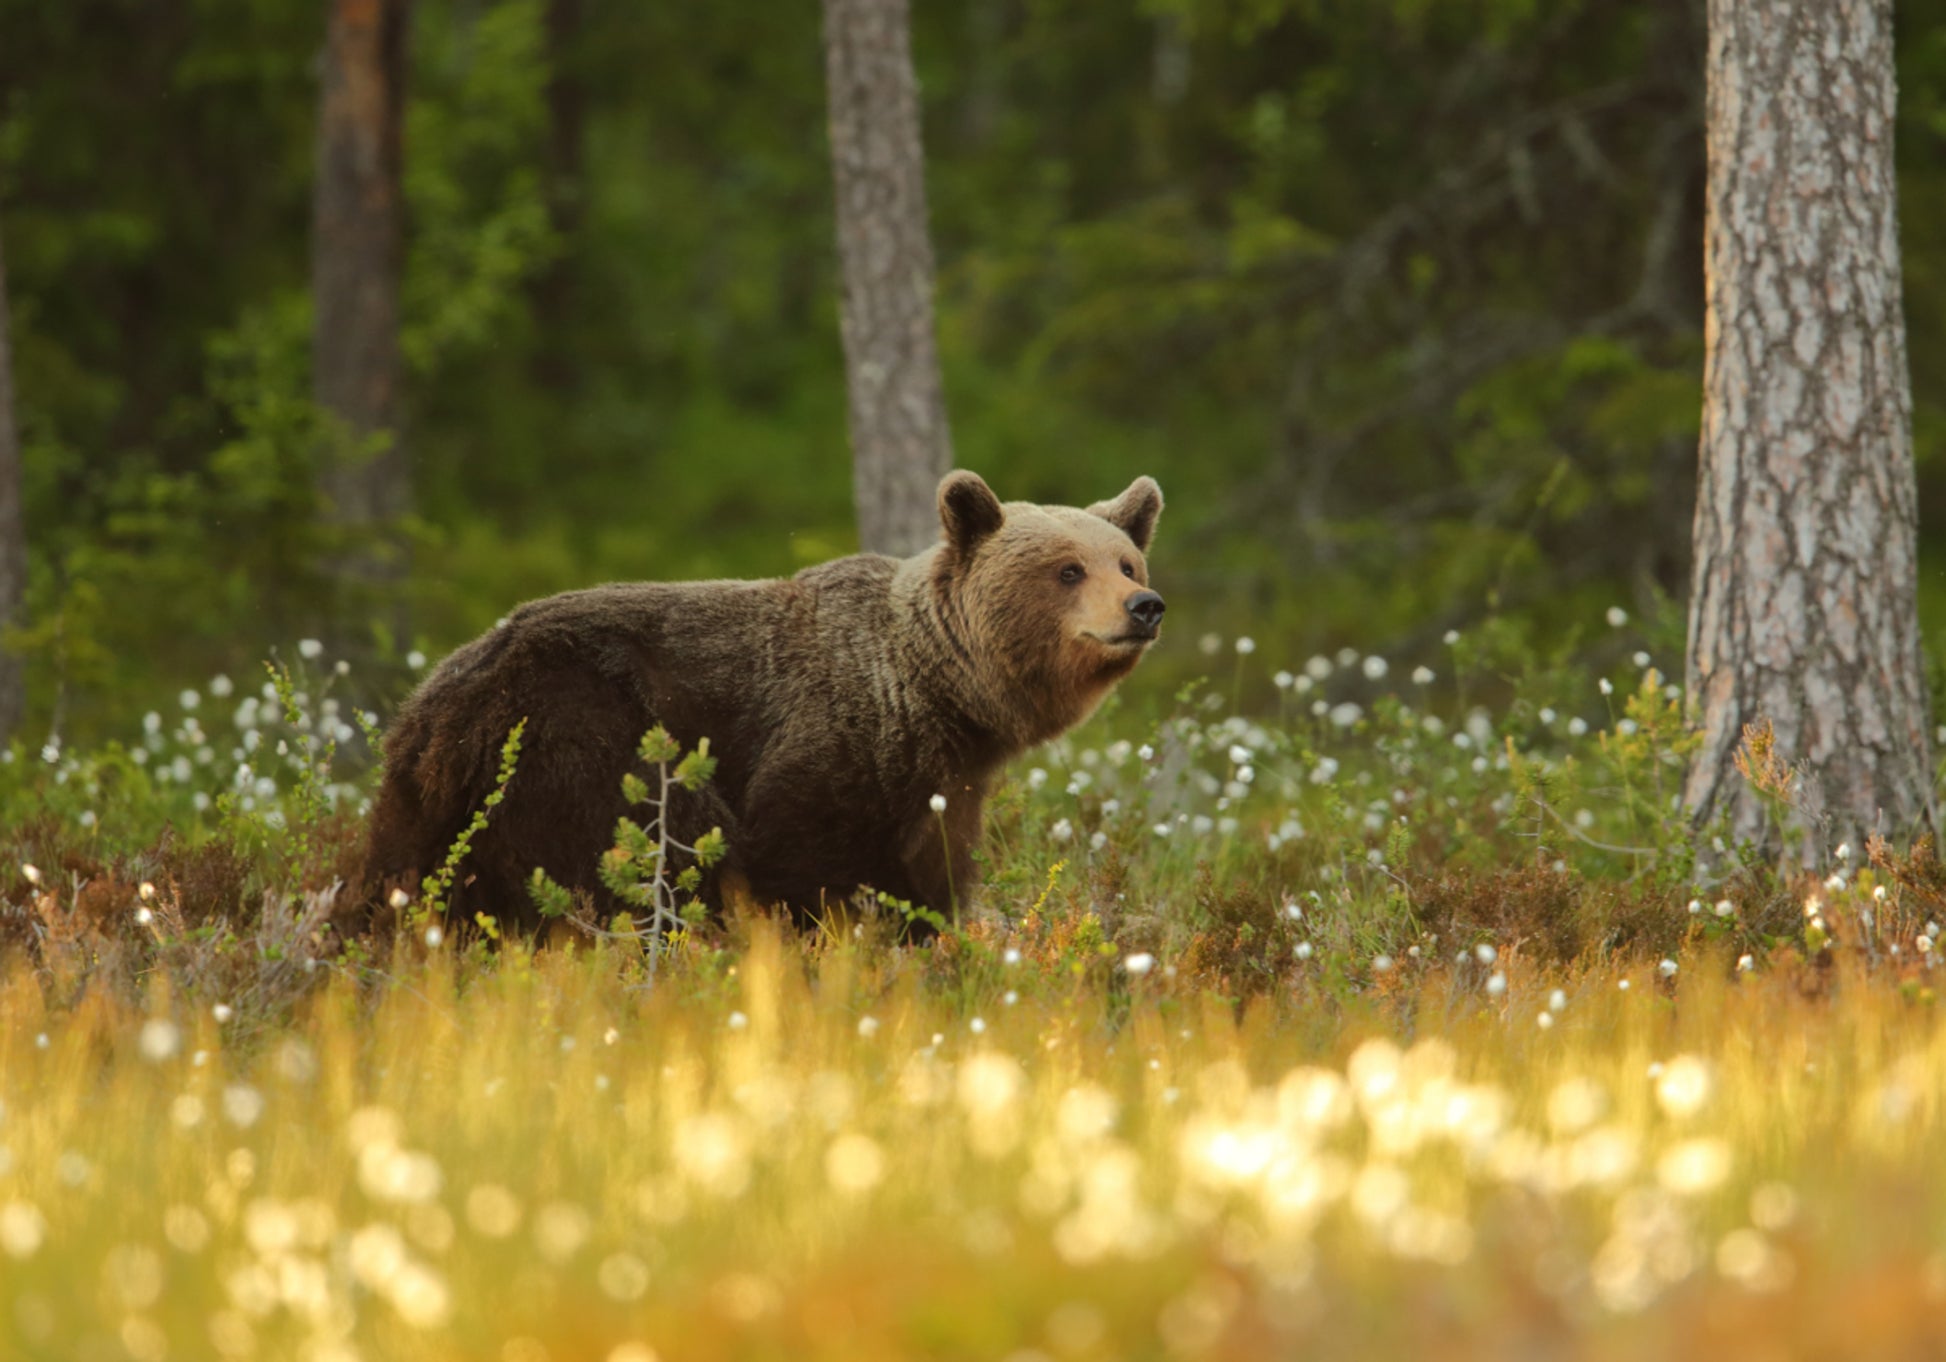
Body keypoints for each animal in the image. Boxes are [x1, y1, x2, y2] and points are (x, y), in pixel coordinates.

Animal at [358, 470, 1165, 936]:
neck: (939, 695)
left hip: (434, 800)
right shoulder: (831, 742)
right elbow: (802, 859)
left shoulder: (942, 782)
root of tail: (435, 698)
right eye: (1068, 570)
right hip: (580, 734)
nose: (1145, 606)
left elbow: (931, 872)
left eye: (1127, 561)